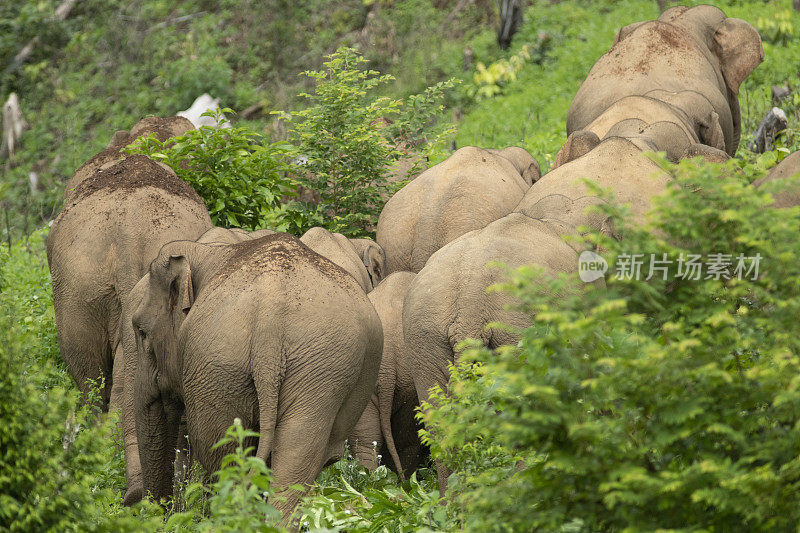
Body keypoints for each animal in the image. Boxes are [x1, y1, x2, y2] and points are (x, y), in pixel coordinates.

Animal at [130, 235, 382, 516]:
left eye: (141, 331)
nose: (160, 512)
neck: (207, 252)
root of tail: (270, 322)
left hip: (219, 365)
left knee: (220, 454)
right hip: (321, 369)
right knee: (297, 456)